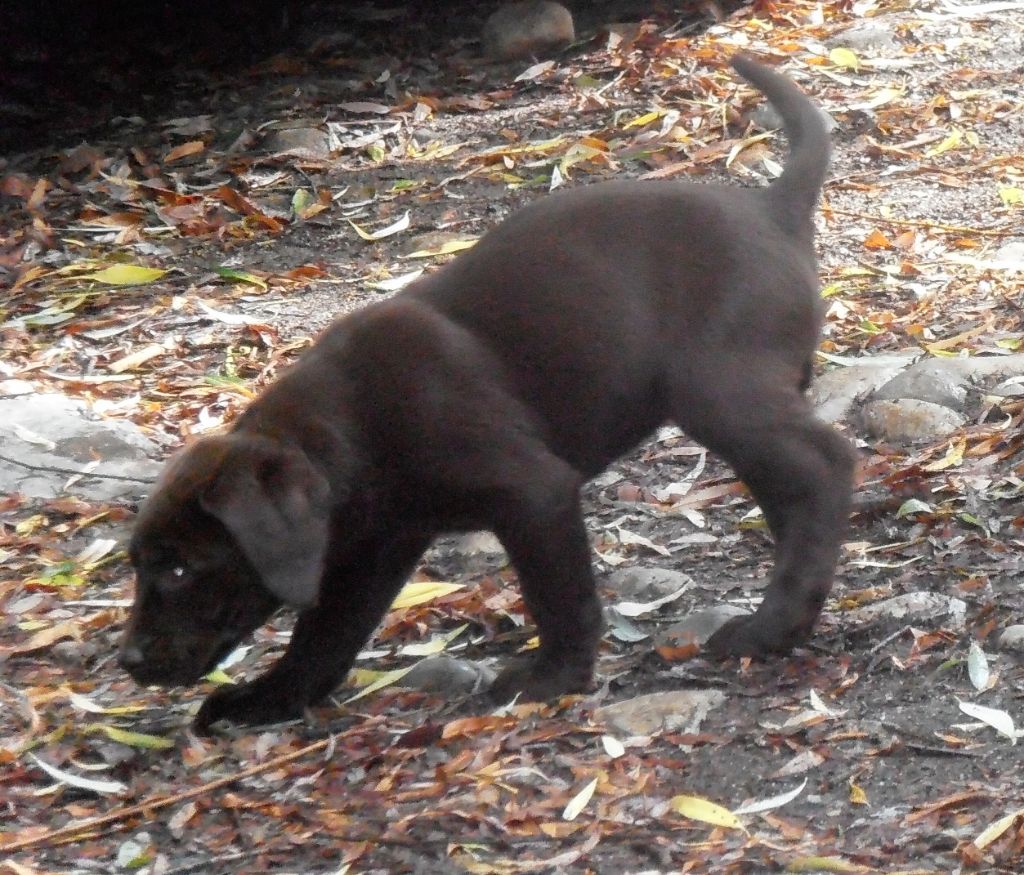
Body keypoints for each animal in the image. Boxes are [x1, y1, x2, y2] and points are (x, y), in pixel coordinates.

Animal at [121, 54, 856, 733]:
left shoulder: (533, 492)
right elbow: (320, 641)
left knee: (826, 464)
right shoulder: (374, 548)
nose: (127, 661)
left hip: (719, 391)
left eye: (180, 571)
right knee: (794, 492)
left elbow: (560, 597)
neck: (348, 427)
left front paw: (550, 677)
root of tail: (774, 208)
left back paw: (772, 624)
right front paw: (266, 699)